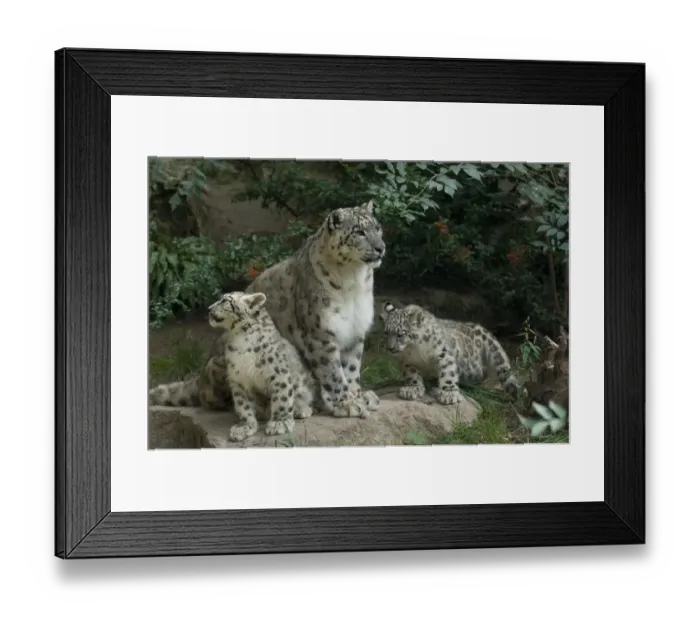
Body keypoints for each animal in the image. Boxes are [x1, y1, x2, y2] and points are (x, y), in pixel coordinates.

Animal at [378, 301, 520, 405]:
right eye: (386, 333)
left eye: (401, 334)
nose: (390, 348)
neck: (414, 350)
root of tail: (479, 328)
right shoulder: (407, 362)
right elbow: (411, 374)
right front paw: (412, 388)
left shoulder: (443, 354)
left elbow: (448, 372)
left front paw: (449, 394)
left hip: (473, 368)